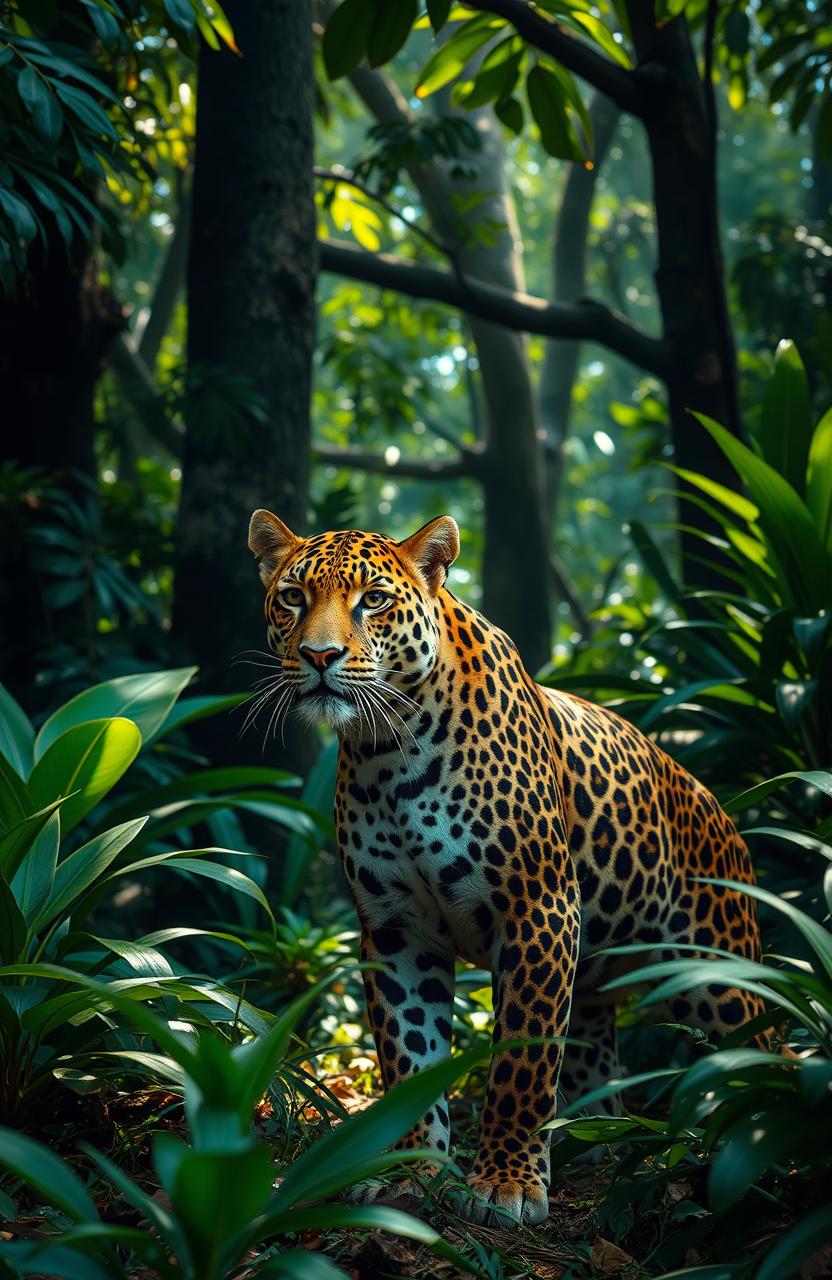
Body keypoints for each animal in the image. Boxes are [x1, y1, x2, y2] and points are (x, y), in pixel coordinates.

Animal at [248, 509, 765, 1227]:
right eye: (293, 597)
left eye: (372, 600)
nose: (319, 657)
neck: (388, 749)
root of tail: (719, 810)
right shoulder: (395, 928)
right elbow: (408, 1054)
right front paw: (410, 1170)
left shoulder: (538, 911)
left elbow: (523, 1061)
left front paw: (505, 1185)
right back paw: (599, 1150)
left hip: (719, 979)